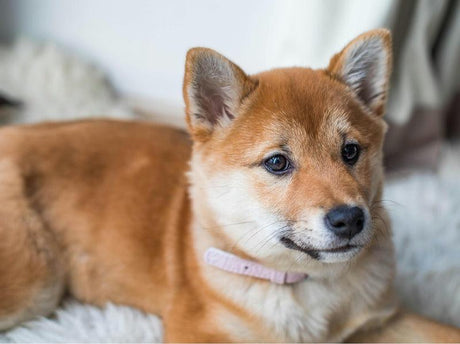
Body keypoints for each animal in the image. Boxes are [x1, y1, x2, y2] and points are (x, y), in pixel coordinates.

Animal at [0, 28, 460, 342]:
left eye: (350, 151)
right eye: (277, 162)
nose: (349, 219)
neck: (305, 286)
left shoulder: (384, 320)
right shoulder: (197, 329)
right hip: (36, 283)